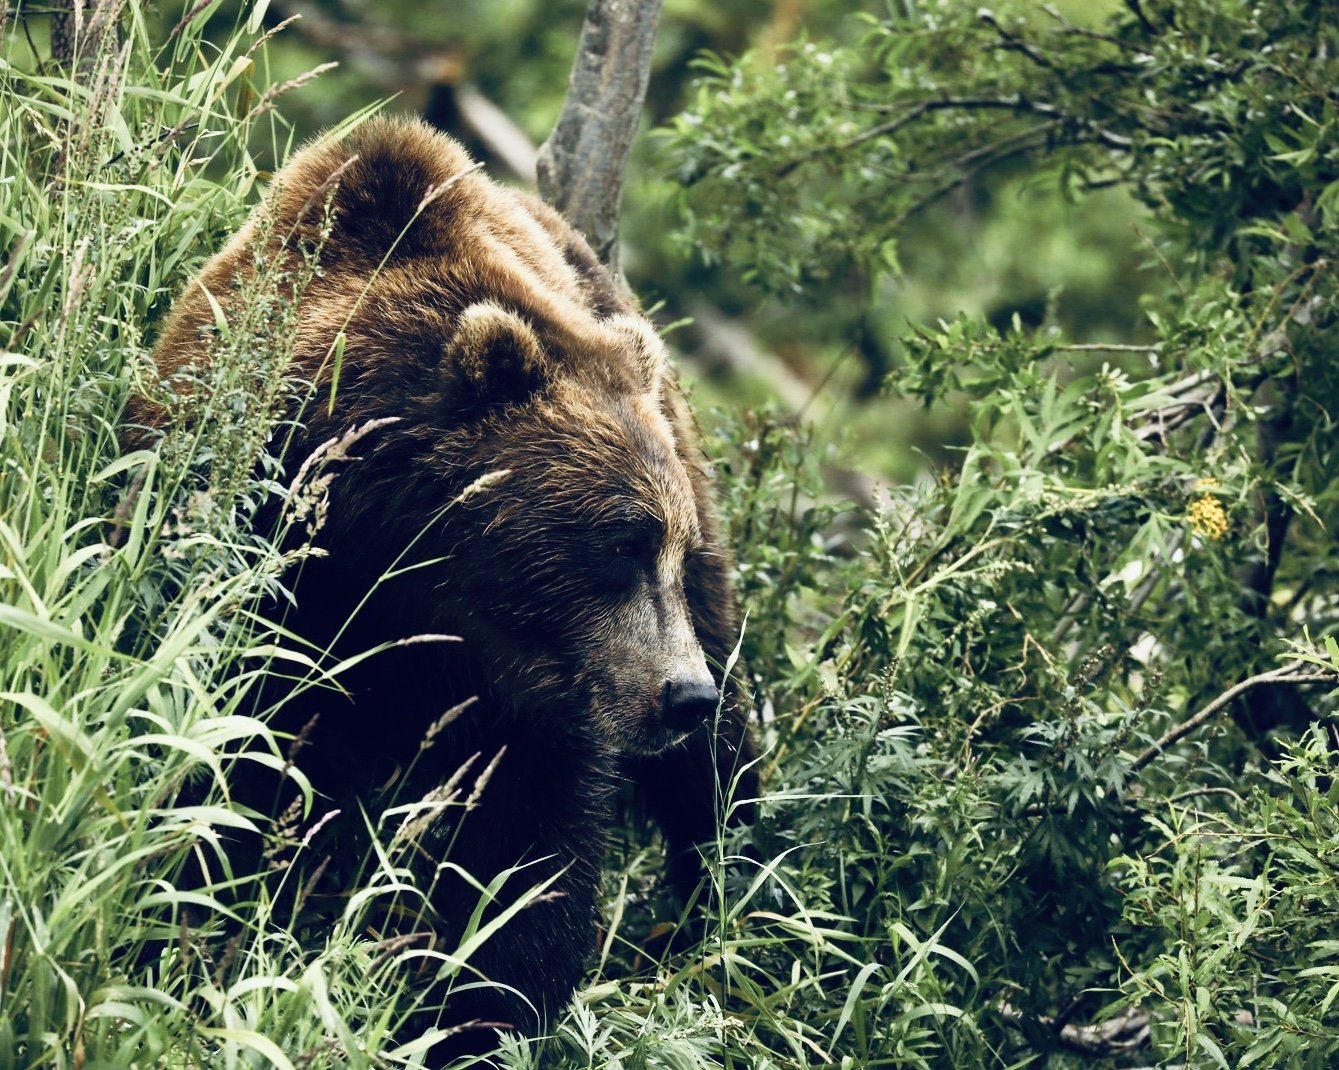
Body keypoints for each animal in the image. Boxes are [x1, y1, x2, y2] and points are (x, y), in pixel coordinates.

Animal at [130, 119, 760, 1060]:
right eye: (623, 541)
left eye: (667, 549)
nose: (682, 693)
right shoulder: (255, 551)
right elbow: (236, 767)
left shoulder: (536, 693)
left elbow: (521, 856)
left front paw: (476, 1016)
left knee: (714, 776)